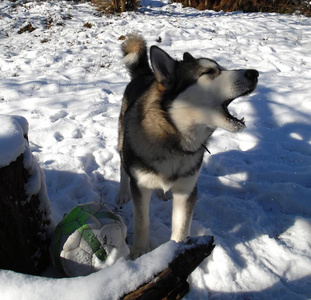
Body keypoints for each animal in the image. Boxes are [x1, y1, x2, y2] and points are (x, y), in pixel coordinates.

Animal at [116, 33, 260, 258]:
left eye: (220, 67)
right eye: (209, 72)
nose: (254, 74)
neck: (175, 142)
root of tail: (146, 75)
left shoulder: (187, 190)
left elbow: (181, 227)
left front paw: (176, 251)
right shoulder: (141, 186)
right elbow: (142, 222)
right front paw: (139, 253)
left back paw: (163, 193)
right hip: (123, 140)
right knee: (123, 167)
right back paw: (123, 193)